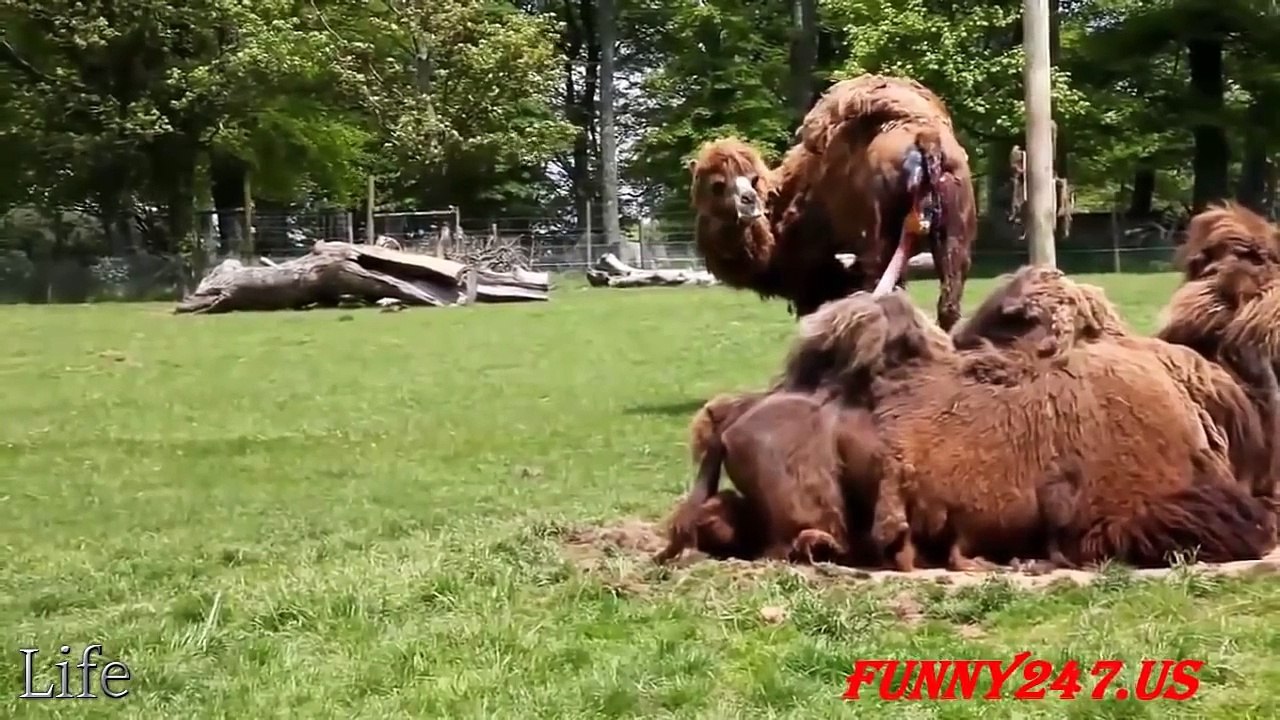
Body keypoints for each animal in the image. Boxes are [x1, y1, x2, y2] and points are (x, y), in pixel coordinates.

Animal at [687, 74, 978, 330]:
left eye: (753, 179)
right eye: (717, 185)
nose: (749, 202)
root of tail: (926, 139)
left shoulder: (814, 273)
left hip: (880, 230)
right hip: (955, 223)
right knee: (948, 300)